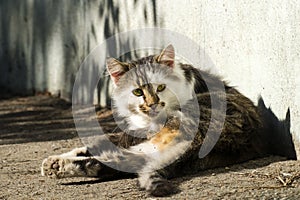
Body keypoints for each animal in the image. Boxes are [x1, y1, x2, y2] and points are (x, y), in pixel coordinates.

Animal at [41, 44, 296, 197]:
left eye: (161, 87)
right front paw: (60, 156)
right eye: (137, 92)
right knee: (118, 162)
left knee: (120, 160)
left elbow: (104, 141)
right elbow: (96, 141)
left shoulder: (138, 131)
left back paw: (60, 167)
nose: (153, 104)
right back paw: (58, 166)